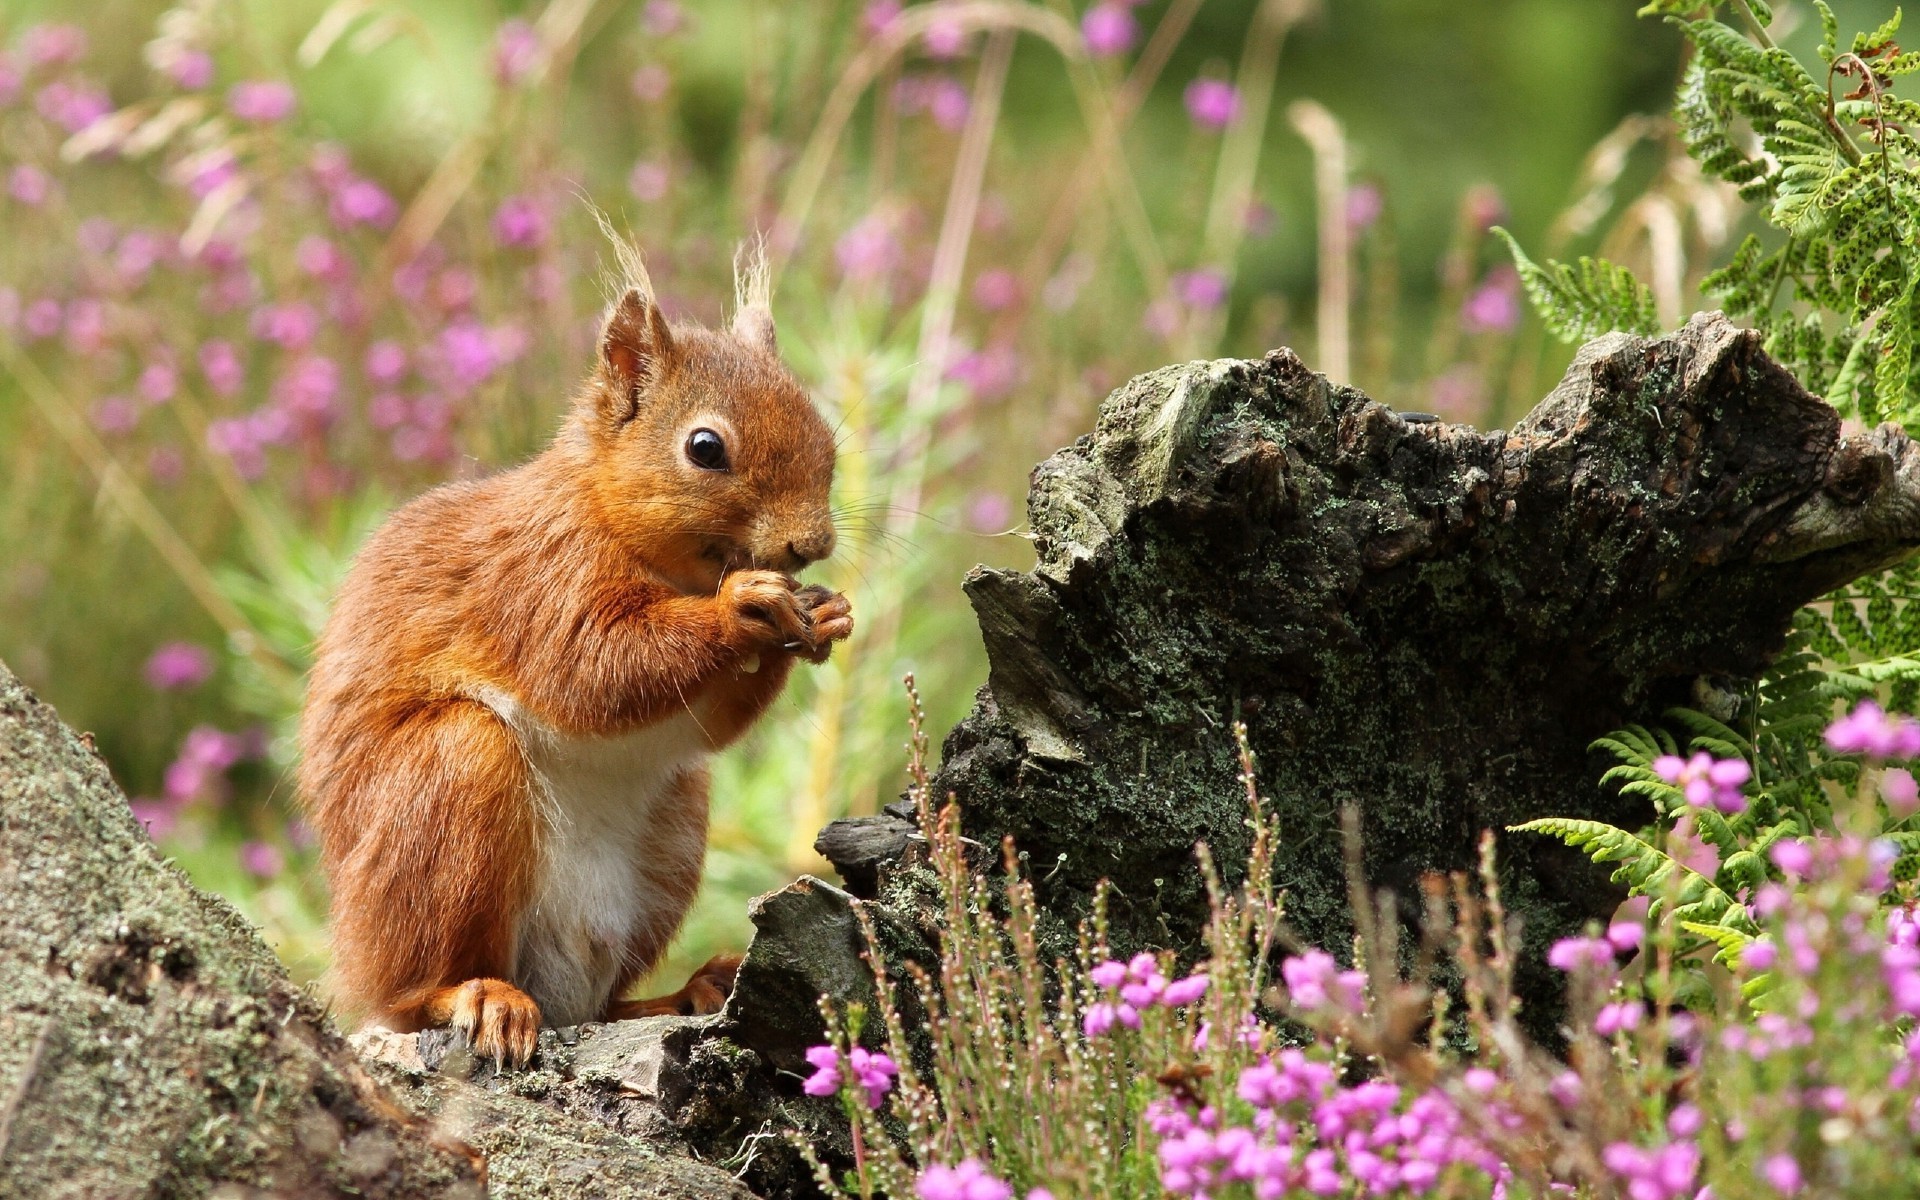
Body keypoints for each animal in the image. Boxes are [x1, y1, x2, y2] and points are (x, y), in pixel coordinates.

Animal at [297, 248, 850, 1066]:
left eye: (827, 439)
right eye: (705, 448)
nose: (811, 544)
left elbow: (703, 723)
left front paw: (826, 613)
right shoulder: (535, 580)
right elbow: (594, 669)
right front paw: (742, 608)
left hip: (673, 834)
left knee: (607, 1002)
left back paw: (683, 992)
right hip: (450, 779)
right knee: (411, 993)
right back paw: (478, 995)